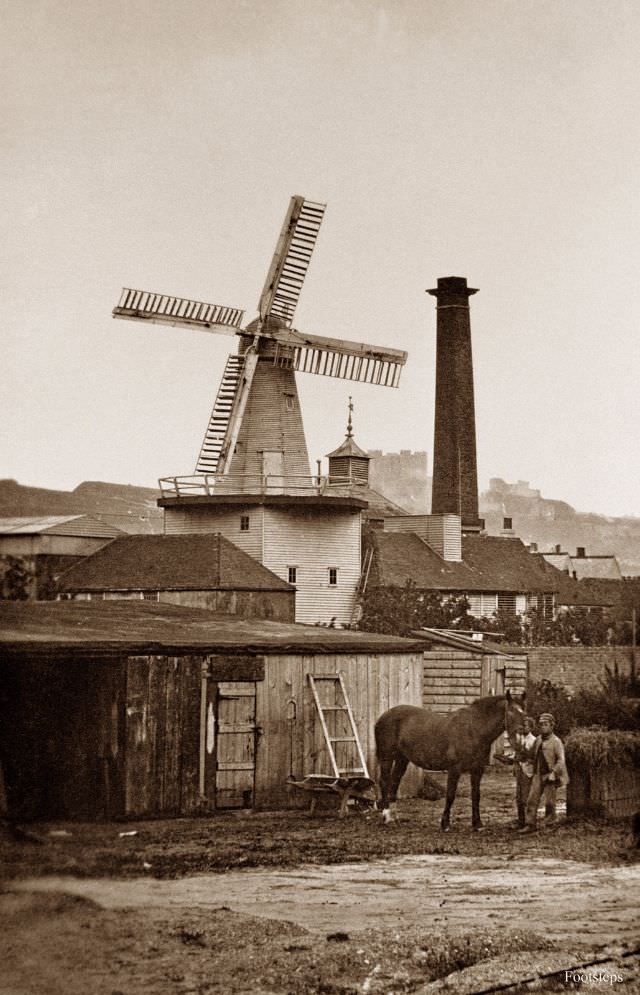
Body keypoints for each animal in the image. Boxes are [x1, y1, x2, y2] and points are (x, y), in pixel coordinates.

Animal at [376, 692, 524, 832]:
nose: (524, 729)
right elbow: (451, 795)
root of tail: (383, 716)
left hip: (402, 759)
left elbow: (476, 795)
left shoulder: (477, 770)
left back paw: (394, 817)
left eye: (523, 710)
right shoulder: (454, 769)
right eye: (511, 711)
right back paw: (386, 816)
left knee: (394, 782)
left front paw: (477, 824)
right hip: (387, 758)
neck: (473, 730)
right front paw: (445, 824)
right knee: (384, 782)